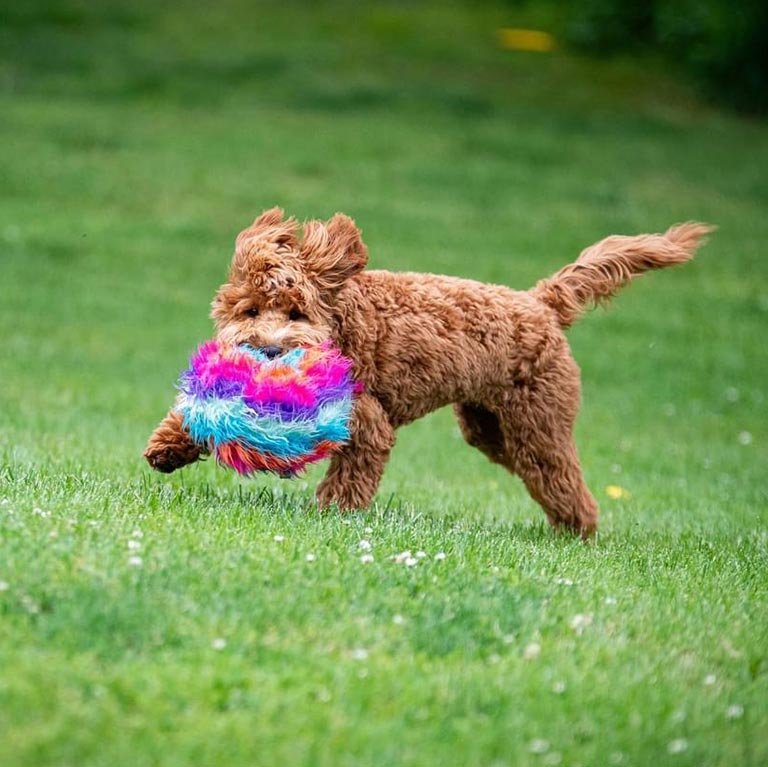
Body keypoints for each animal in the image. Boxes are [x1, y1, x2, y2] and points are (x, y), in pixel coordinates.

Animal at [142, 207, 708, 536]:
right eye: (251, 310)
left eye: (297, 313)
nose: (269, 351)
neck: (347, 319)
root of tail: (541, 303)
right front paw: (167, 447)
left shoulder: (367, 420)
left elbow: (352, 473)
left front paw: (332, 516)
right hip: (488, 425)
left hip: (538, 420)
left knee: (560, 474)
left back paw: (579, 531)